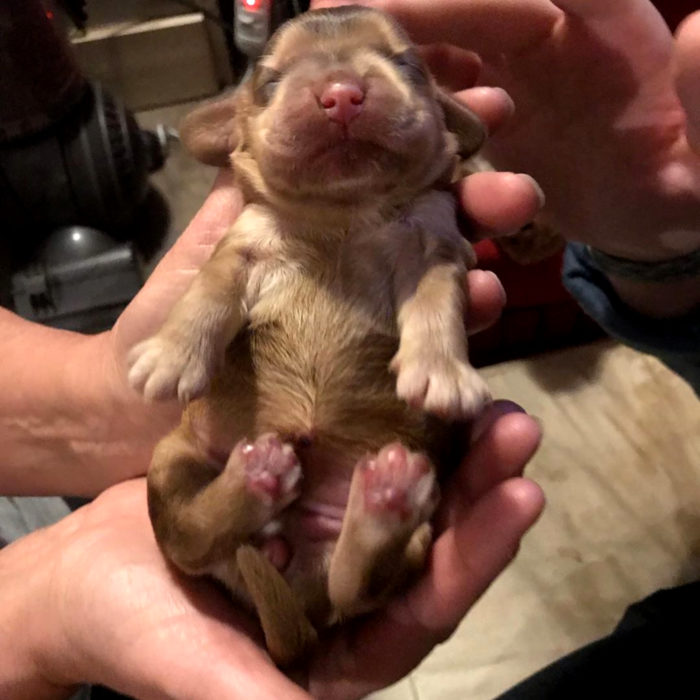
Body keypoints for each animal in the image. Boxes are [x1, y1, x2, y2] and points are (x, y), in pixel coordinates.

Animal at [131, 5, 492, 668]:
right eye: (270, 81)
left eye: (407, 64)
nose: (342, 94)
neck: (340, 215)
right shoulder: (242, 246)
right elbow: (207, 295)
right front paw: (170, 356)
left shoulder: (435, 244)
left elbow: (435, 302)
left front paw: (441, 374)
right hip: (170, 462)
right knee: (190, 539)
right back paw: (257, 479)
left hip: (418, 532)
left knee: (355, 588)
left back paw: (383, 499)